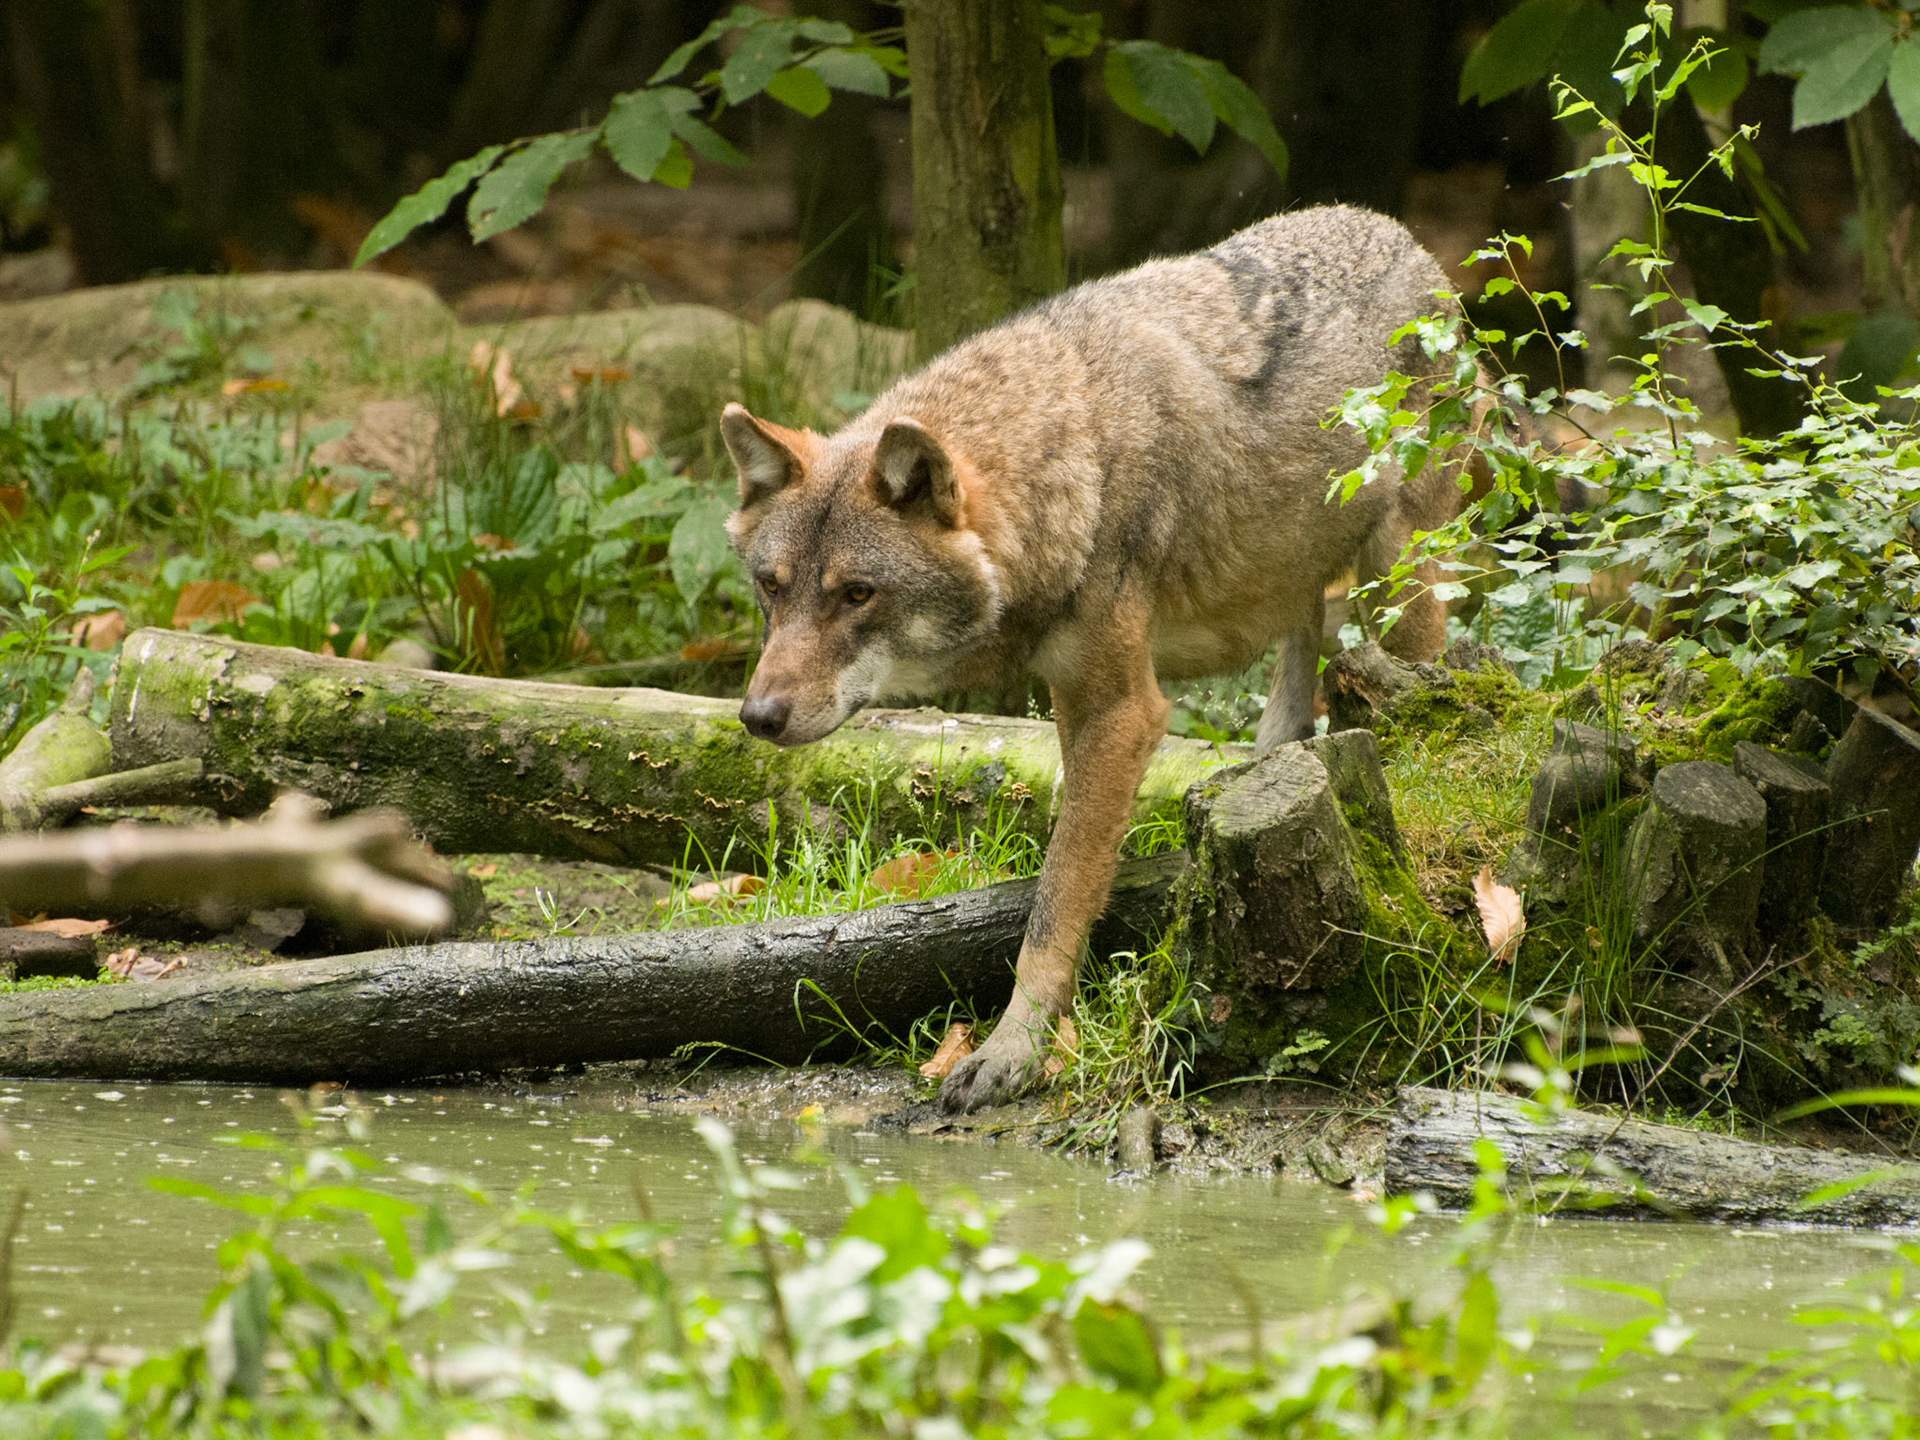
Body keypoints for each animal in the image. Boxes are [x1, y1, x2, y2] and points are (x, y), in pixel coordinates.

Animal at [721, 205, 1470, 1112]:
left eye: (857, 595)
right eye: (771, 587)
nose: (758, 718)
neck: (1068, 456)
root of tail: (1402, 234)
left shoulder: (1123, 710)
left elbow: (1057, 896)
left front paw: (1012, 1051)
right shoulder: (1072, 700)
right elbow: (1066, 874)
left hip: (1399, 574)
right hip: (1299, 568)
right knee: (1304, 656)